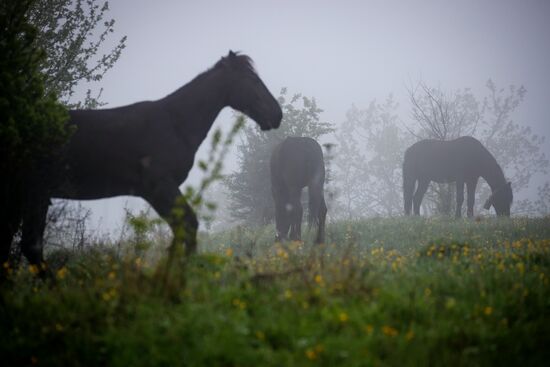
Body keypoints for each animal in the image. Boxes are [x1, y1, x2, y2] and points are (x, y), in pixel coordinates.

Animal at [6, 51, 284, 268]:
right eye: (252, 80)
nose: (277, 113)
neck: (174, 122)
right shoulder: (158, 187)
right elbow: (188, 226)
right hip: (36, 191)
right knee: (31, 247)